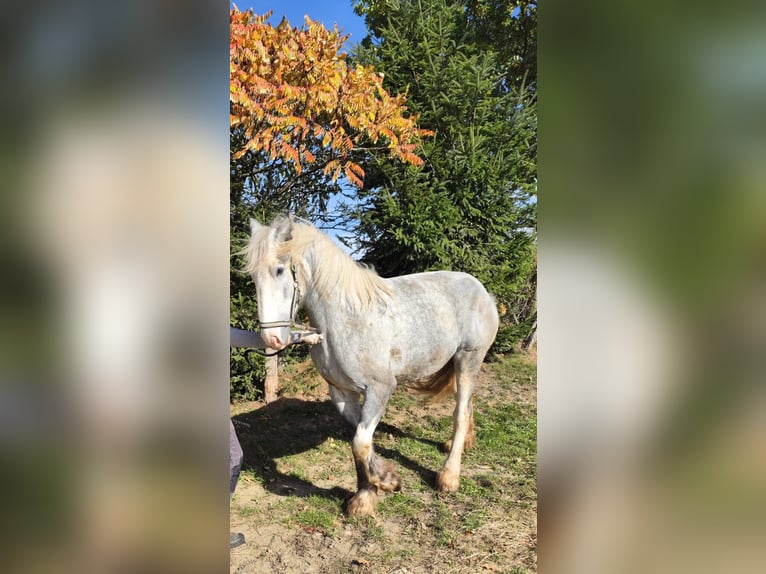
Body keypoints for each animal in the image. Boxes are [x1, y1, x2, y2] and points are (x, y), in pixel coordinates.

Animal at [243, 216, 499, 516]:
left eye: (280, 270)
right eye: (253, 276)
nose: (271, 339)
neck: (346, 318)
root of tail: (483, 291)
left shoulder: (380, 389)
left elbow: (361, 443)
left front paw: (380, 487)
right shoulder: (342, 393)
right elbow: (359, 444)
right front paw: (370, 492)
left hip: (468, 358)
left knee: (460, 413)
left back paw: (449, 476)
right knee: (467, 406)